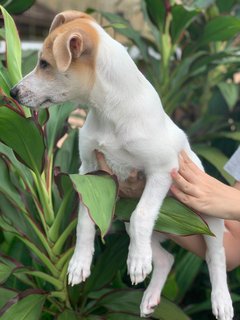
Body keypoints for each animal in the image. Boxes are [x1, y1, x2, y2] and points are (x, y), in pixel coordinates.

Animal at [10, 10, 232, 320]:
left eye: (44, 64)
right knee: (166, 258)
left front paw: (136, 261)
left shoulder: (162, 171)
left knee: (215, 255)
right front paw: (80, 263)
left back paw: (221, 300)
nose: (13, 92)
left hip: (208, 218)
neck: (108, 112)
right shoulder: (90, 175)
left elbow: (142, 214)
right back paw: (150, 295)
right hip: (133, 221)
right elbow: (85, 221)